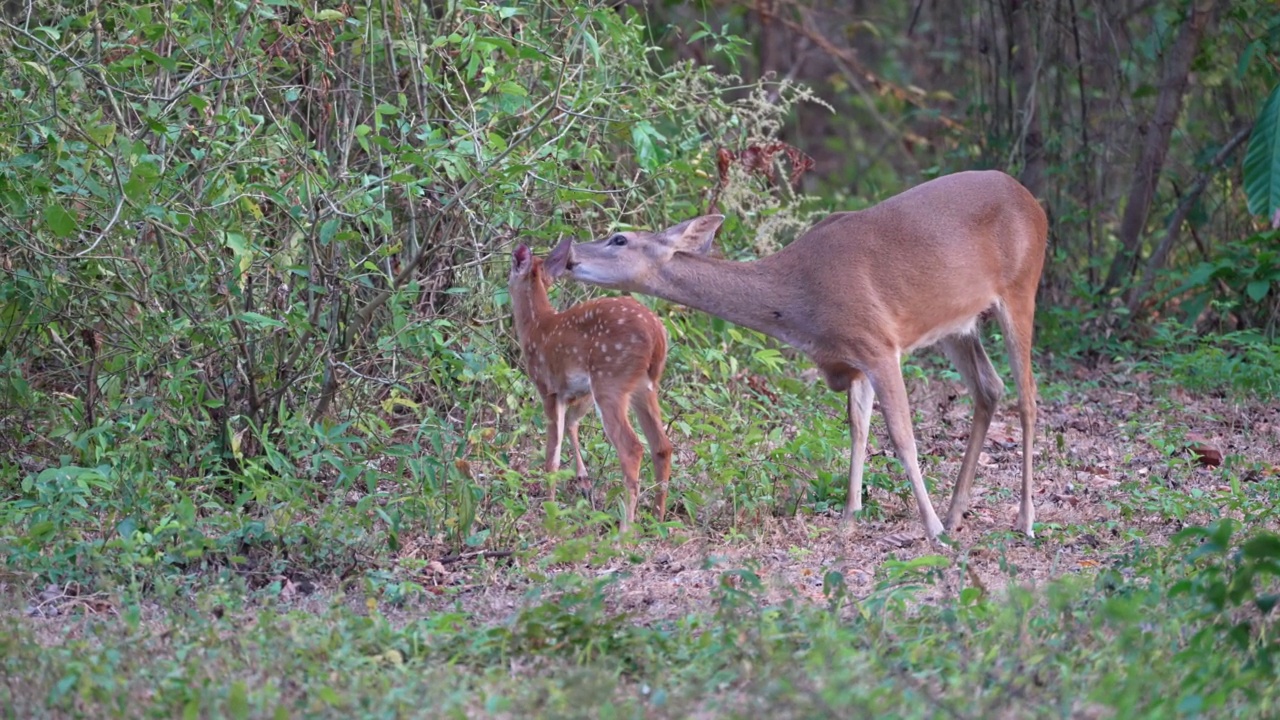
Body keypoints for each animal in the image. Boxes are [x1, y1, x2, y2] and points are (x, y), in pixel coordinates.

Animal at [506, 240, 675, 527]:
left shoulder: (549, 389)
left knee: (632, 448)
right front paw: (583, 481)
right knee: (662, 446)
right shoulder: (577, 392)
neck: (537, 327)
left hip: (610, 380)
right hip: (644, 386)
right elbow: (572, 425)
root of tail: (657, 336)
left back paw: (626, 528)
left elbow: (552, 456)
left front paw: (550, 513)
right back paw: (657, 519)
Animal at [545, 167, 1044, 538]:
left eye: (619, 239)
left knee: (1028, 397)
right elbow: (858, 430)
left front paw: (932, 528)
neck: (799, 301)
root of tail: (1033, 201)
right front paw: (849, 519)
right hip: (956, 325)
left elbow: (902, 437)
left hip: (1022, 286)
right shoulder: (854, 358)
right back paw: (959, 511)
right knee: (989, 388)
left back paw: (1023, 519)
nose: (566, 255)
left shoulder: (881, 345)